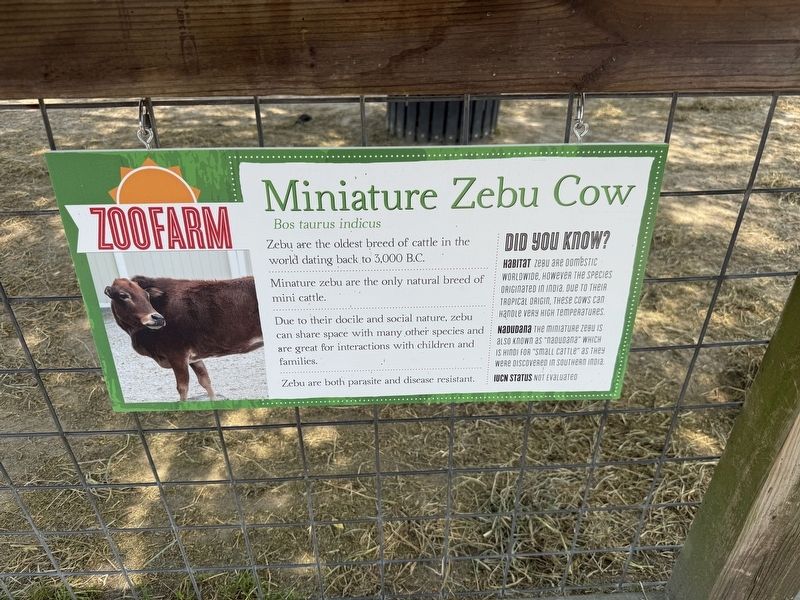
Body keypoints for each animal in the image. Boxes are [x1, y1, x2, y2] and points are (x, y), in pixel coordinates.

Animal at [104, 275, 264, 401]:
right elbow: (205, 381)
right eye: (123, 295)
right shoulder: (194, 357)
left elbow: (182, 388)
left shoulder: (177, 355)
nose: (158, 318)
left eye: (146, 295)